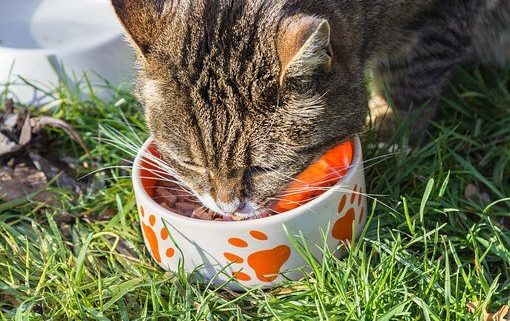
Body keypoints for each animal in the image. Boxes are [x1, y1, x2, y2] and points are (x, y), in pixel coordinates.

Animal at [111, 0, 510, 216]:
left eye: (264, 167)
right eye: (191, 163)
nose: (228, 208)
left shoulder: (439, 21)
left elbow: (410, 81)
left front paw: (392, 136)